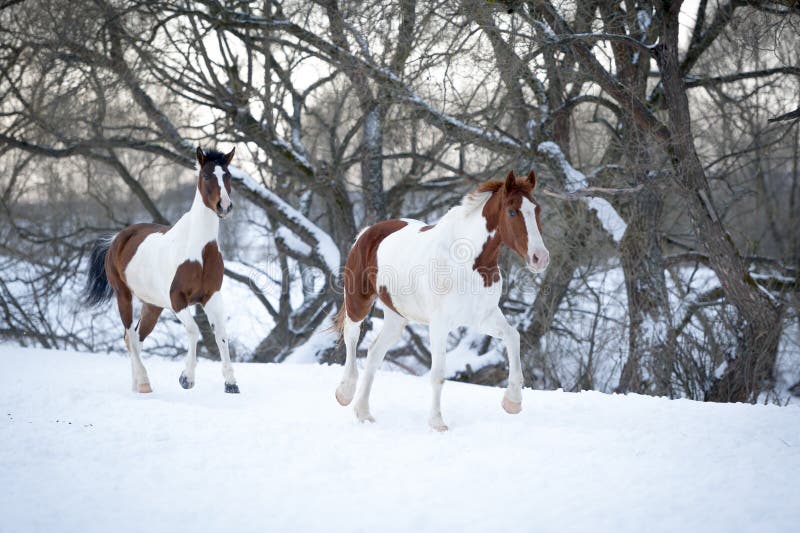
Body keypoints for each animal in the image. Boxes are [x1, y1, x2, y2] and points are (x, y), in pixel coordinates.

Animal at [86, 148, 241, 392]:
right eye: (206, 175)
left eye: (228, 175)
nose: (224, 206)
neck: (199, 251)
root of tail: (116, 239)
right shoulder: (177, 300)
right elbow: (194, 330)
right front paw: (187, 378)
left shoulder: (212, 297)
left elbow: (221, 336)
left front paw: (231, 383)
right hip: (124, 296)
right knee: (130, 335)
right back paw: (144, 382)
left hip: (152, 305)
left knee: (135, 337)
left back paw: (137, 387)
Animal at [332, 171, 552, 432]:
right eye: (511, 212)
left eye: (537, 210)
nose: (540, 258)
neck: (467, 260)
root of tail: (366, 232)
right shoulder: (439, 324)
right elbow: (438, 373)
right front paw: (437, 423)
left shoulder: (484, 318)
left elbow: (513, 337)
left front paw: (513, 402)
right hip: (359, 302)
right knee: (352, 336)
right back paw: (345, 393)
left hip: (396, 317)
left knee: (375, 352)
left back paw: (364, 412)